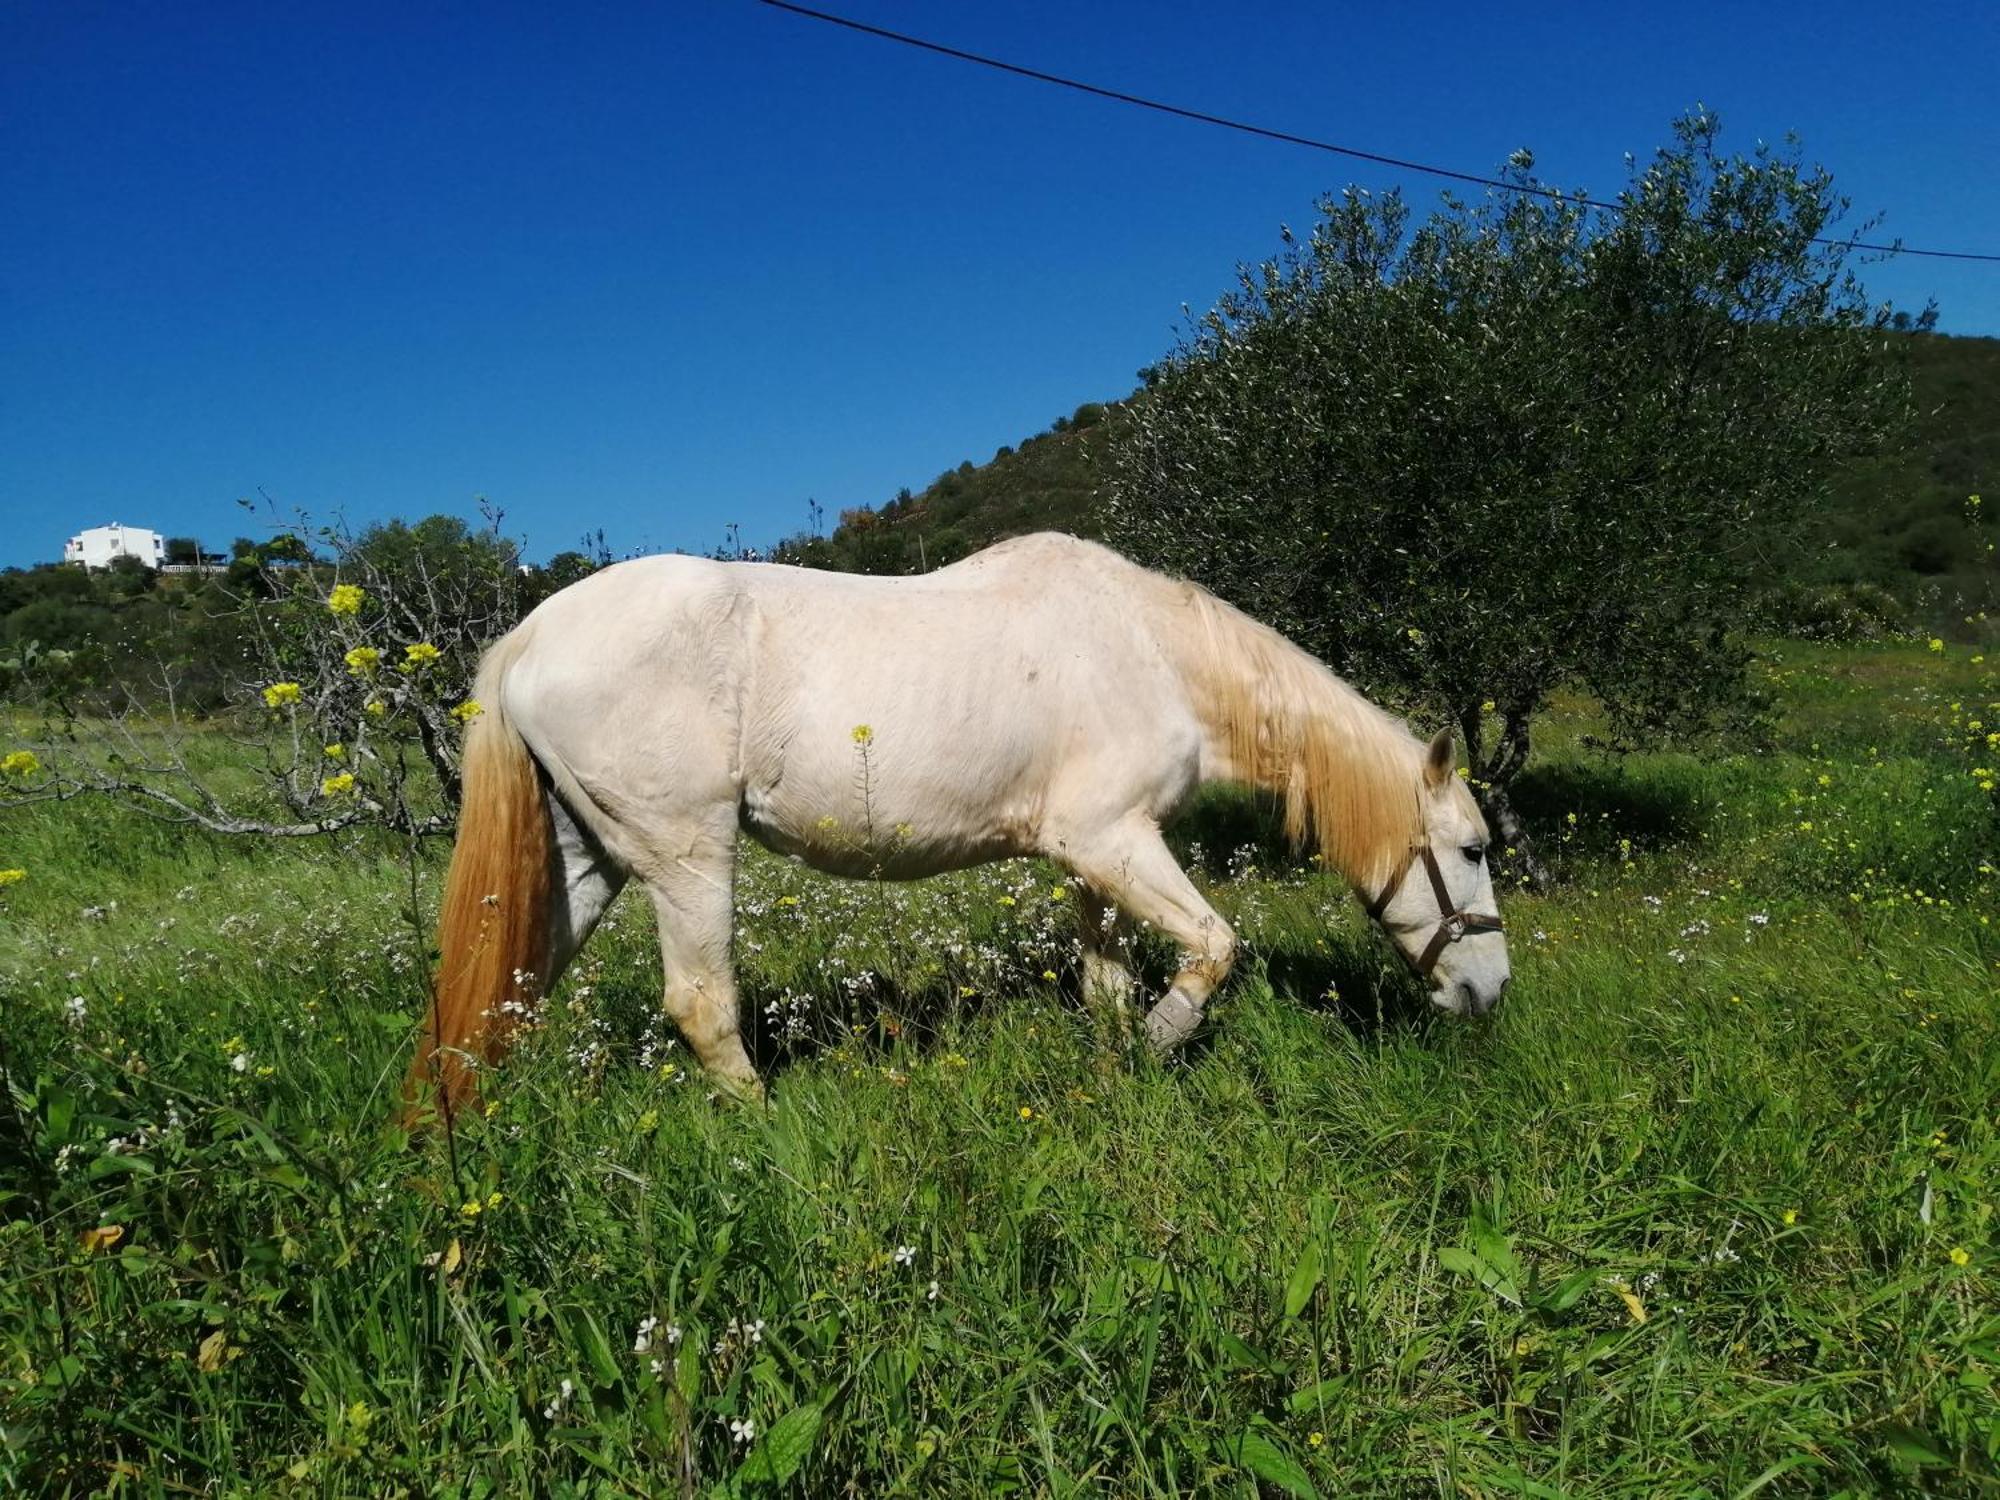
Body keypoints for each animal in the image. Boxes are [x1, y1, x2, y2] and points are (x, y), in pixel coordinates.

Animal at [410, 536, 1512, 1120]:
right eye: (1469, 851)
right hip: (686, 856)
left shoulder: (1093, 857)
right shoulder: (1110, 842)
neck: (1156, 654)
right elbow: (1212, 949)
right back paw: (763, 1129)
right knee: (699, 1004)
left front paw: (1111, 1073)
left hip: (586, 860)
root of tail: (529, 636)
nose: (1489, 993)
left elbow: (1106, 987)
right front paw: (1160, 1047)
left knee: (505, 994)